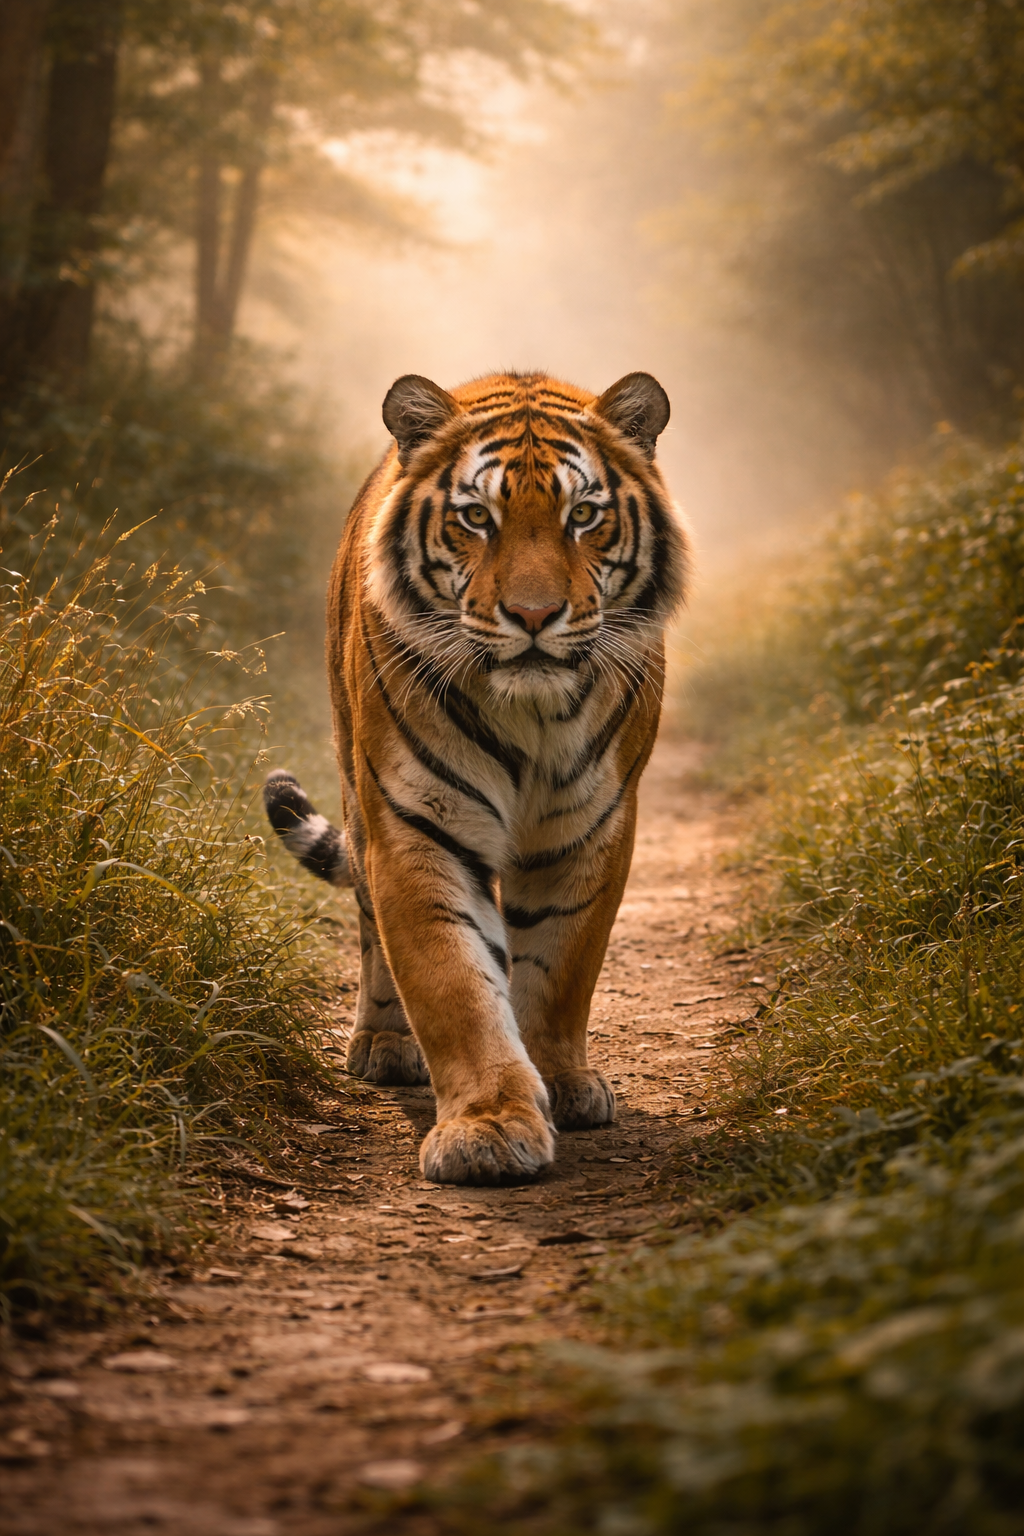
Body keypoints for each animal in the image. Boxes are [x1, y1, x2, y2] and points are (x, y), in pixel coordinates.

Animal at [264, 369, 689, 1185]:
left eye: (582, 515)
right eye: (475, 518)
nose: (533, 614)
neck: (532, 714)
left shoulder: (591, 826)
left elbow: (558, 969)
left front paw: (560, 1082)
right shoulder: (417, 826)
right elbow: (454, 980)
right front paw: (488, 1126)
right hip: (355, 782)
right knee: (370, 925)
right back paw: (383, 1045)